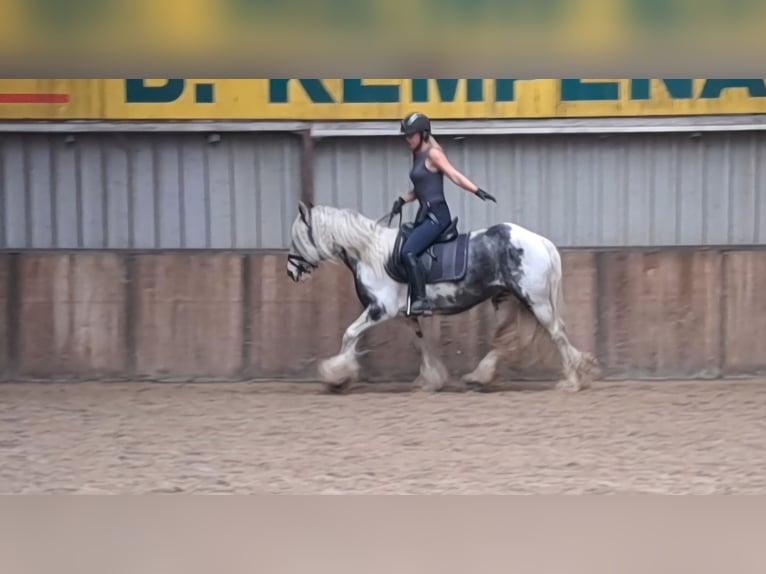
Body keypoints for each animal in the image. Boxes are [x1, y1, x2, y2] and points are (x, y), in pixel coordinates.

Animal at [286, 200, 600, 394]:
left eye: (296, 239)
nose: (291, 272)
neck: (369, 253)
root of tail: (541, 241)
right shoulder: (404, 314)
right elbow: (421, 344)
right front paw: (430, 380)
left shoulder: (380, 309)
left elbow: (349, 334)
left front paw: (336, 377)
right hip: (508, 300)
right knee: (507, 340)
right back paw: (479, 376)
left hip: (536, 302)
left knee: (557, 334)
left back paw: (572, 380)